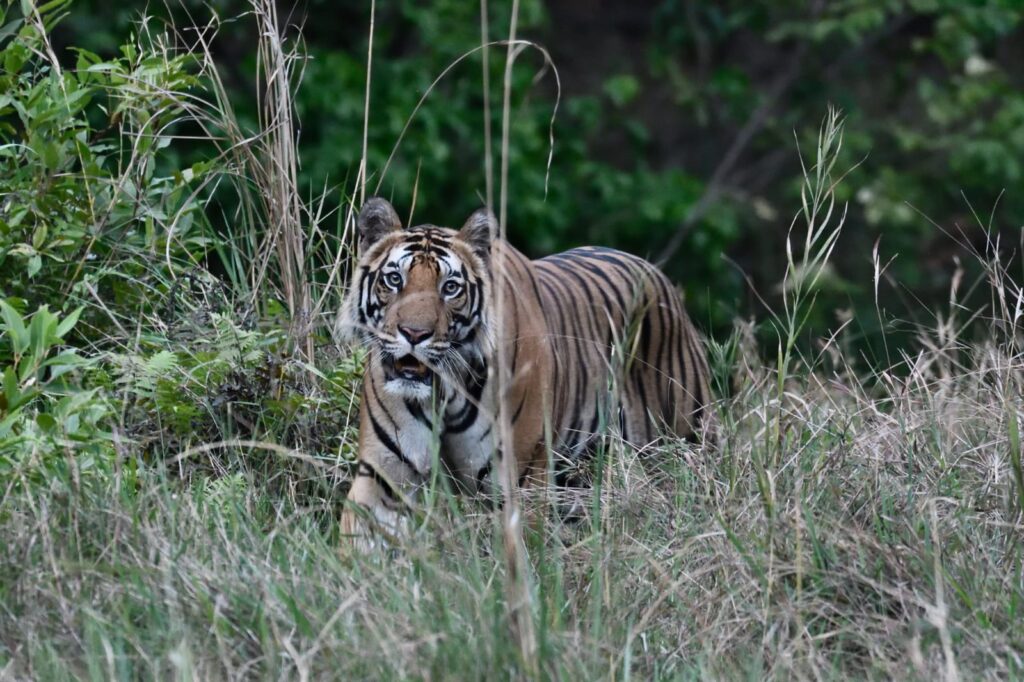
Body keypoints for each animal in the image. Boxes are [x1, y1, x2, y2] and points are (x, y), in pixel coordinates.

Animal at [338, 197, 712, 547]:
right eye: (394, 279)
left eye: (450, 288)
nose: (414, 334)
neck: (447, 391)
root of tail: (658, 276)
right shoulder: (384, 475)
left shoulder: (520, 480)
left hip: (682, 442)